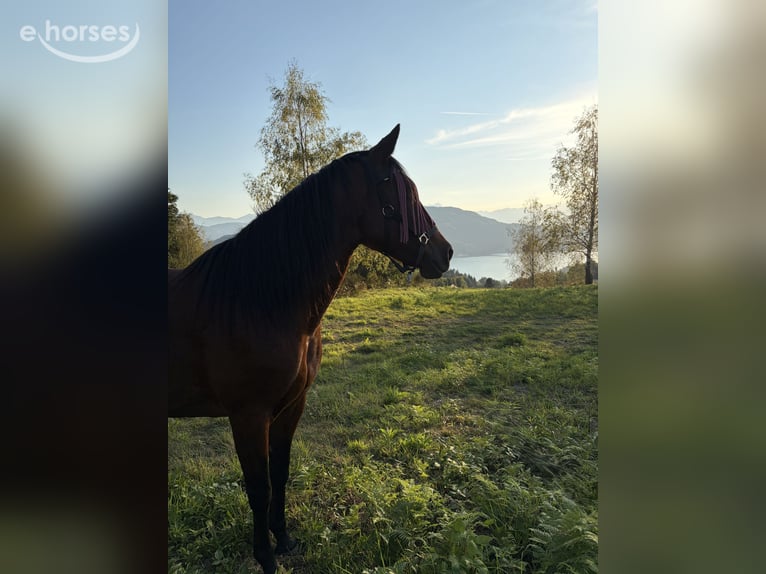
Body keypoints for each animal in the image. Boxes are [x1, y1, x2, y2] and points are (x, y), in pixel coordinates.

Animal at [168, 125, 453, 573]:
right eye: (403, 196)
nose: (445, 252)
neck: (259, 301)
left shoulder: (291, 406)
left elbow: (281, 474)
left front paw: (284, 539)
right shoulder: (248, 415)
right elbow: (258, 488)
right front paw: (266, 558)